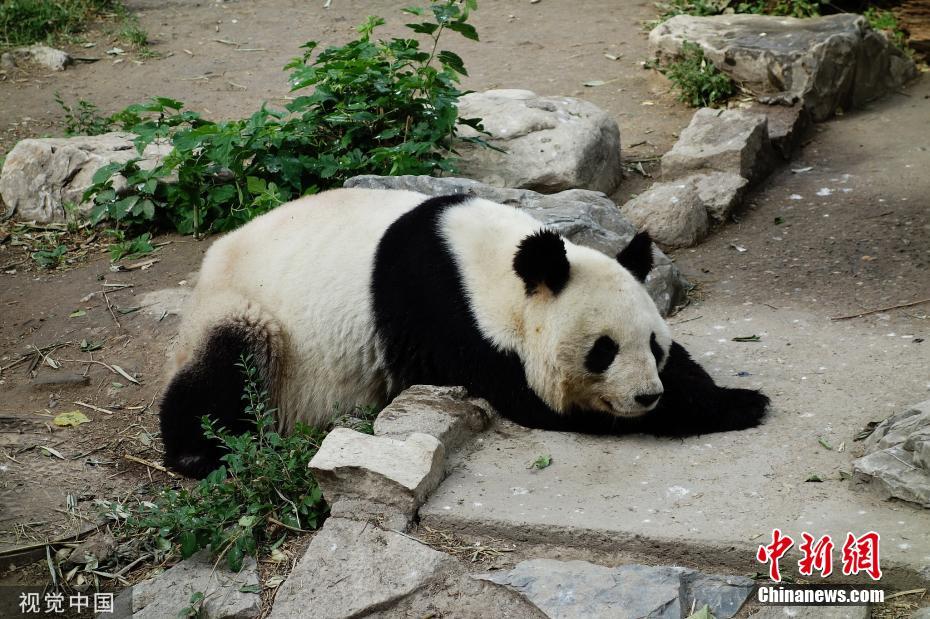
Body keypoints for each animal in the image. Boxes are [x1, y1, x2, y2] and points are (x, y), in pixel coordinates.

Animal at [160, 189, 768, 480]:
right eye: (604, 351)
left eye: (654, 345)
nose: (646, 396)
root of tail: (207, 268)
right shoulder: (446, 321)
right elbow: (539, 402)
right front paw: (727, 408)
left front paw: (734, 395)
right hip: (254, 314)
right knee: (230, 365)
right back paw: (200, 453)